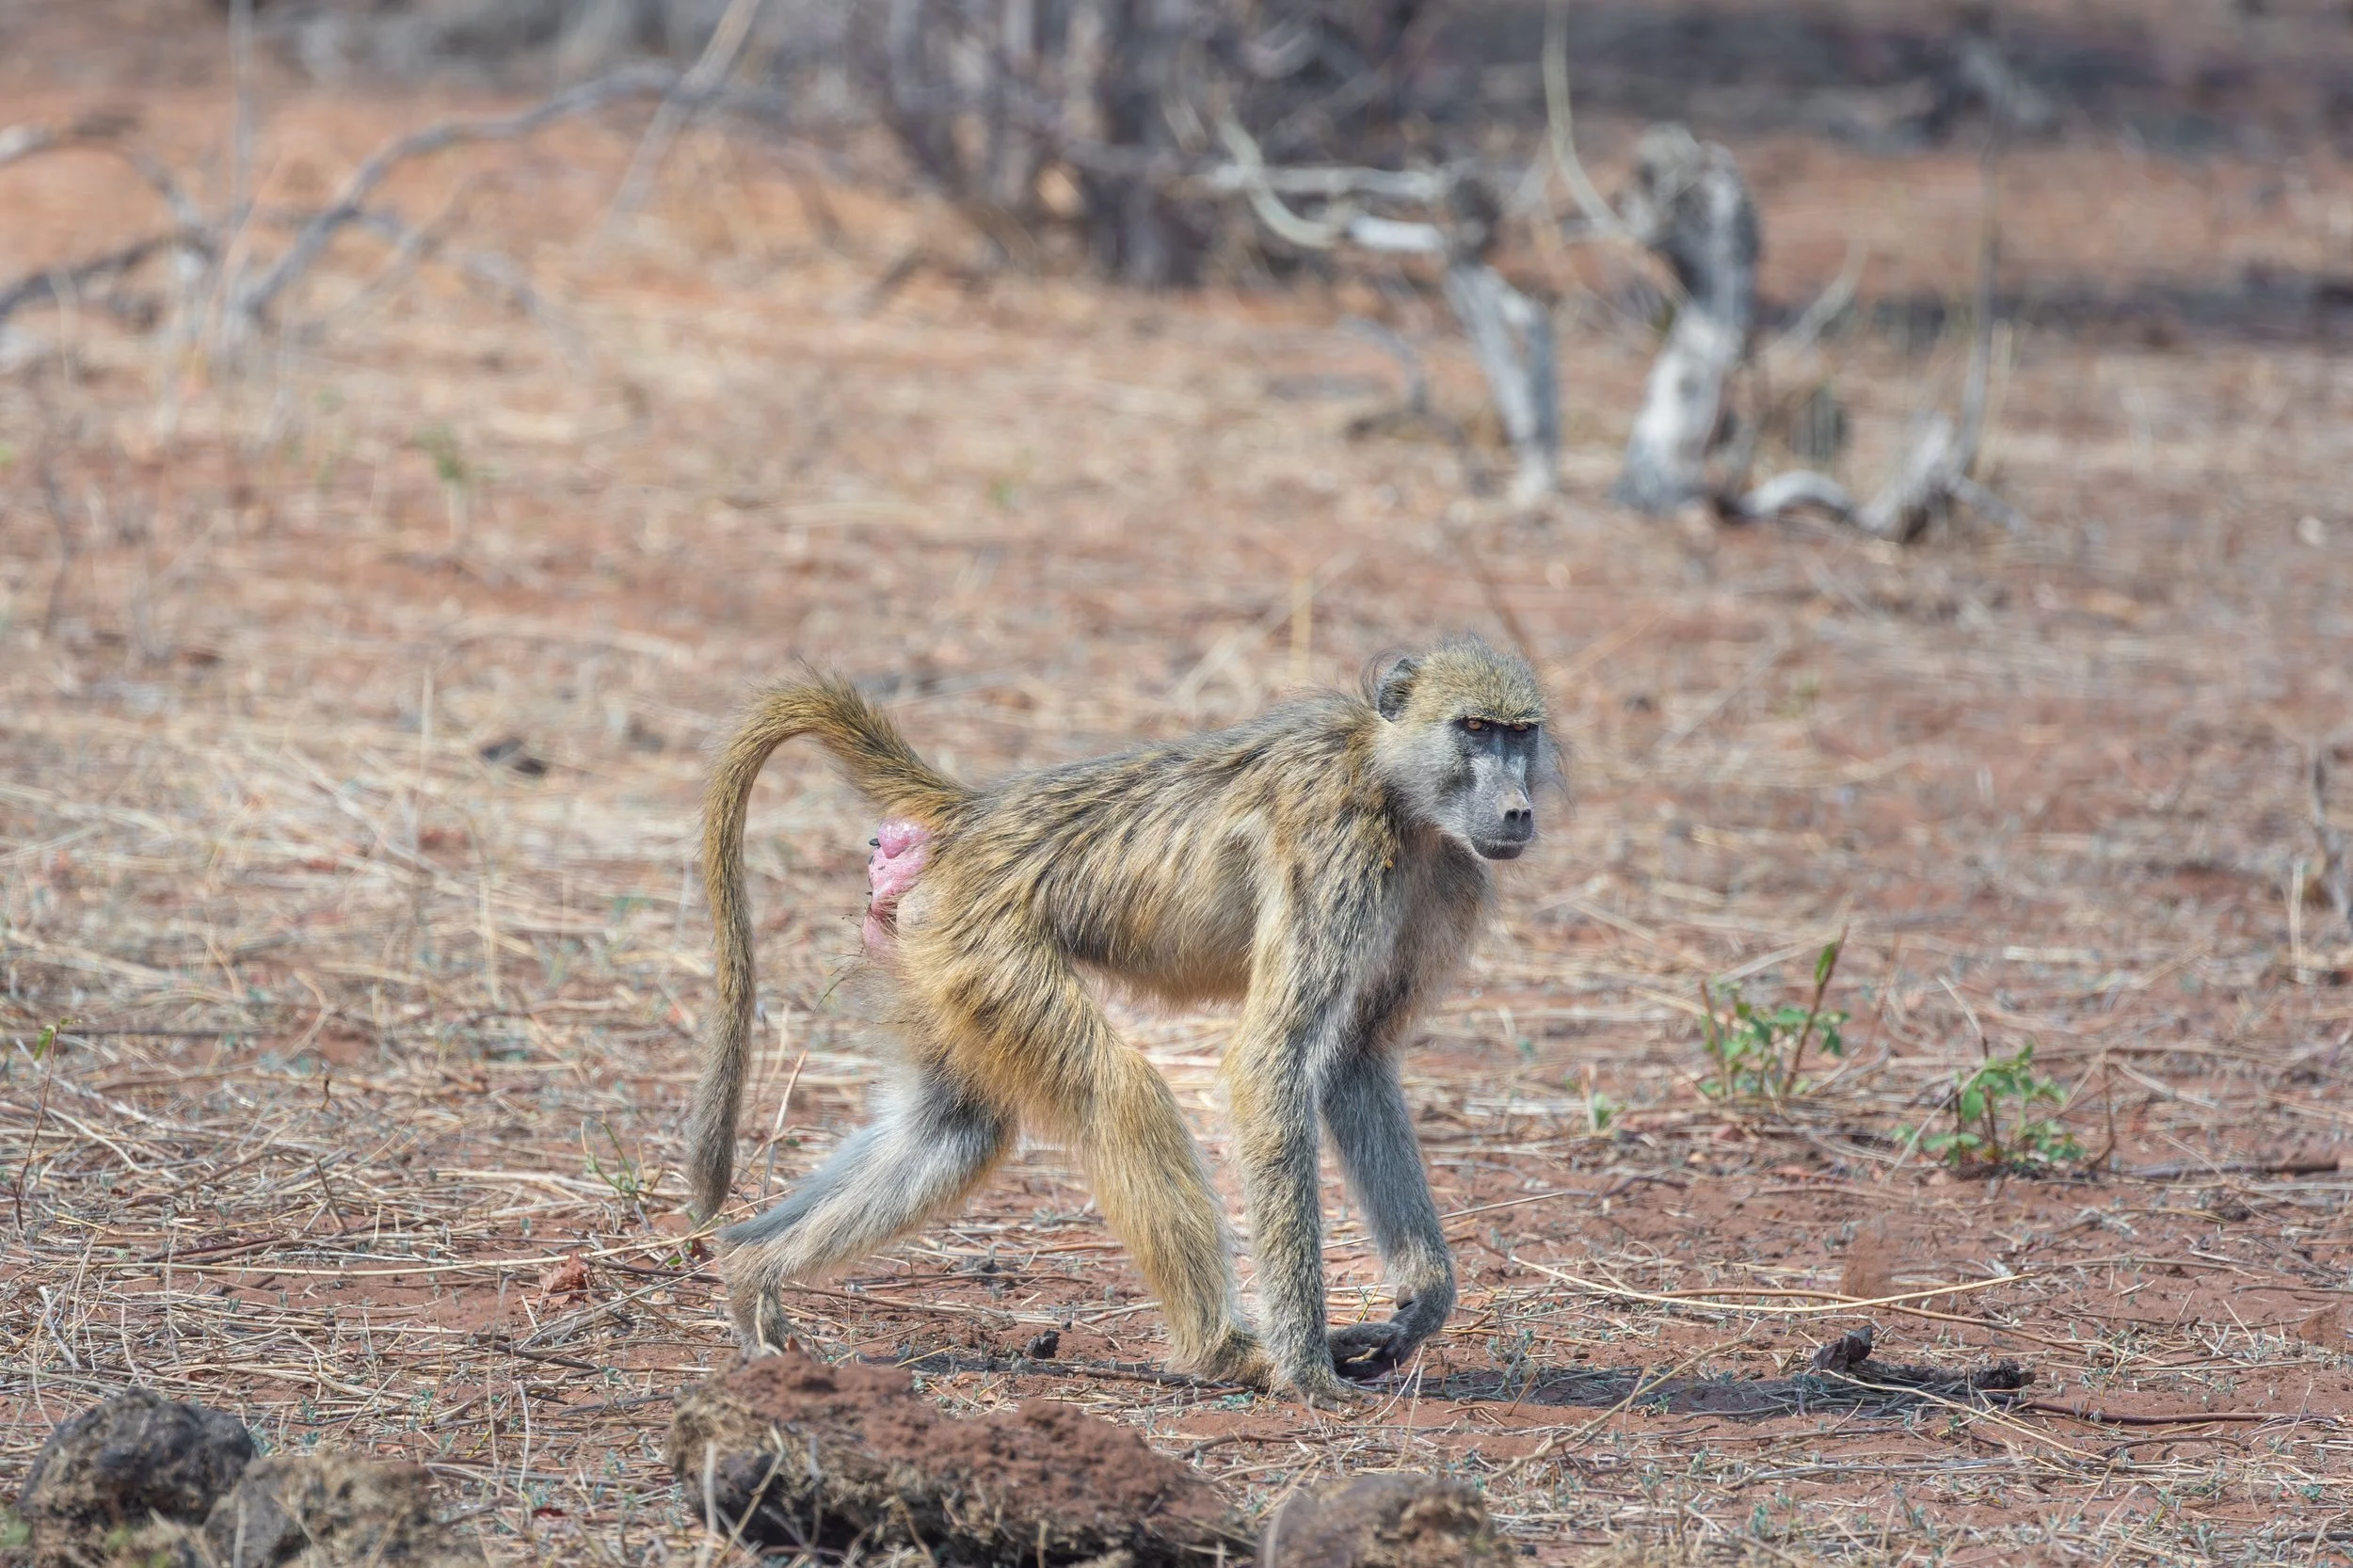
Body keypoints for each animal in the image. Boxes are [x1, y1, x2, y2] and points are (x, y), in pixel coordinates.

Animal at [685, 636, 1552, 1402]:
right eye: (1474, 728)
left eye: (1521, 733)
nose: (1517, 810)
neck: (1394, 789)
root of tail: (972, 813)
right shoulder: (1336, 844)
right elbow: (1270, 1061)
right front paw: (1306, 1368)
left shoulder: (1449, 877)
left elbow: (1355, 1062)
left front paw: (1419, 1310)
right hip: (985, 936)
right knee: (1117, 1092)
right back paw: (1228, 1351)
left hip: (932, 949)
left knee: (955, 1131)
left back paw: (751, 1271)